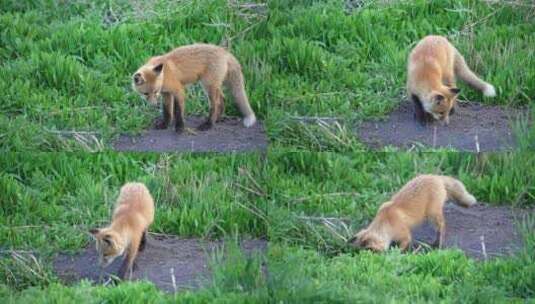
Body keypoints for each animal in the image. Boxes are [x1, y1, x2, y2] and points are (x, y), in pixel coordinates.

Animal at [350, 175, 480, 253]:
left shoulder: (405, 235)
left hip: (432, 214)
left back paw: (438, 243)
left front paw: (397, 253)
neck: (386, 221)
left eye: (369, 253)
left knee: (442, 226)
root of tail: (435, 176)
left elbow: (403, 245)